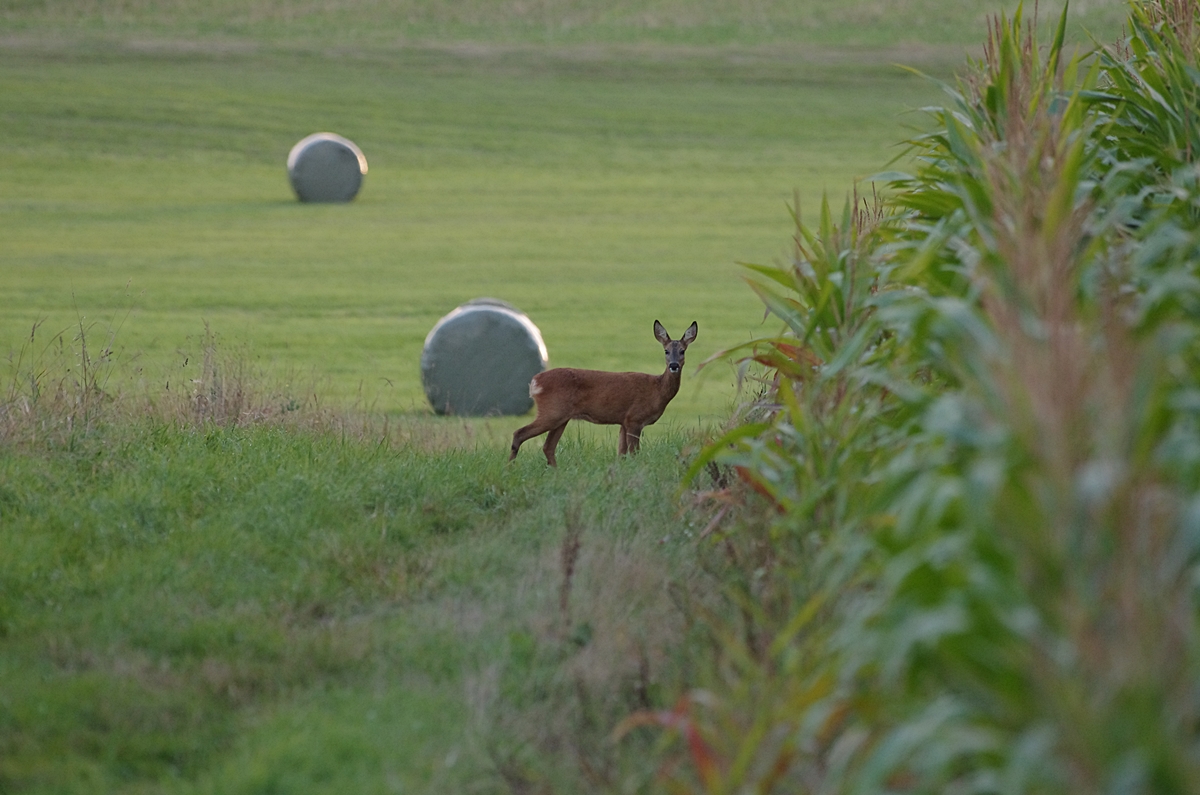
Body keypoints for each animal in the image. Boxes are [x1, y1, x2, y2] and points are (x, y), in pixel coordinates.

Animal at [511, 319, 700, 468]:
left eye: (682, 351)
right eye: (666, 351)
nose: (674, 365)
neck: (657, 390)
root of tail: (535, 381)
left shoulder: (623, 421)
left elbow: (621, 454)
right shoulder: (635, 419)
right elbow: (634, 454)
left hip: (561, 417)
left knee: (548, 447)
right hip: (552, 411)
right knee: (519, 434)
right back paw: (510, 467)